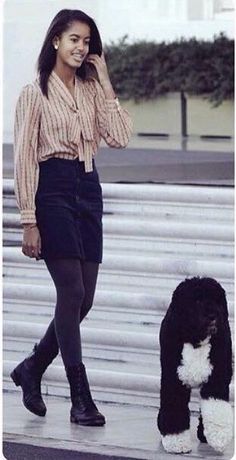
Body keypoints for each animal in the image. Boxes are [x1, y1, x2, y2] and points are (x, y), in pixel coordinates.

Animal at [158, 276, 233, 452]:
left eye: (218, 301)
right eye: (198, 301)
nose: (213, 315)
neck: (195, 341)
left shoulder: (216, 379)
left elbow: (216, 406)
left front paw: (220, 436)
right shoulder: (173, 380)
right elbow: (174, 405)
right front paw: (176, 441)